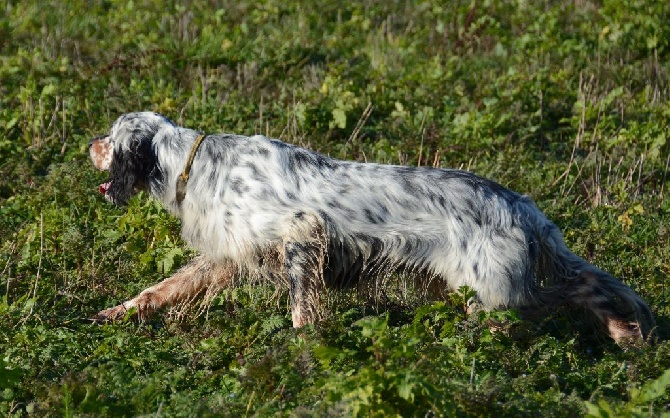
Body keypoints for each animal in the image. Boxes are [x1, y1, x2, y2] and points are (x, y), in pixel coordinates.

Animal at [88, 111, 656, 342]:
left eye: (111, 136)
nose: (87, 142)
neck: (196, 163)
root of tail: (522, 206)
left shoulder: (301, 232)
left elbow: (301, 308)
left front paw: (305, 348)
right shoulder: (228, 254)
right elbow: (162, 289)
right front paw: (114, 313)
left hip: (495, 292)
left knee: (578, 290)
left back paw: (625, 331)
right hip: (482, 289)